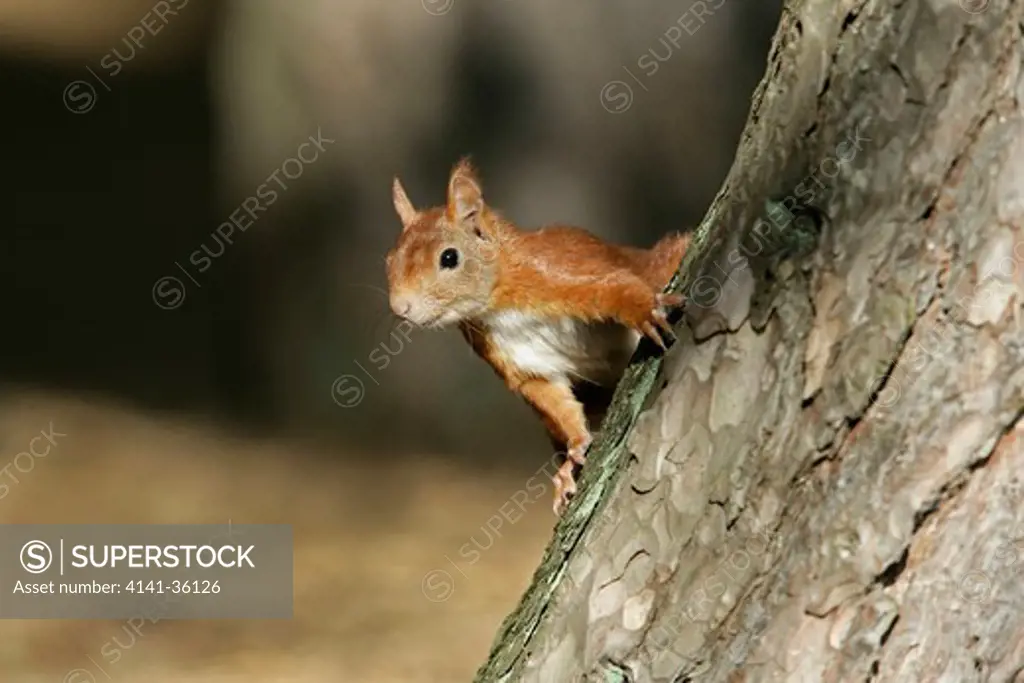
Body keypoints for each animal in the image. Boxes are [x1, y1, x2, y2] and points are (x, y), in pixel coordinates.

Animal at [387, 158, 692, 511]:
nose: (400, 307)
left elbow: (615, 285)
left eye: (449, 257)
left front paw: (643, 310)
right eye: (389, 260)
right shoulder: (520, 360)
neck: (498, 305)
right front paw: (574, 450)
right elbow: (555, 401)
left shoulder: (559, 272)